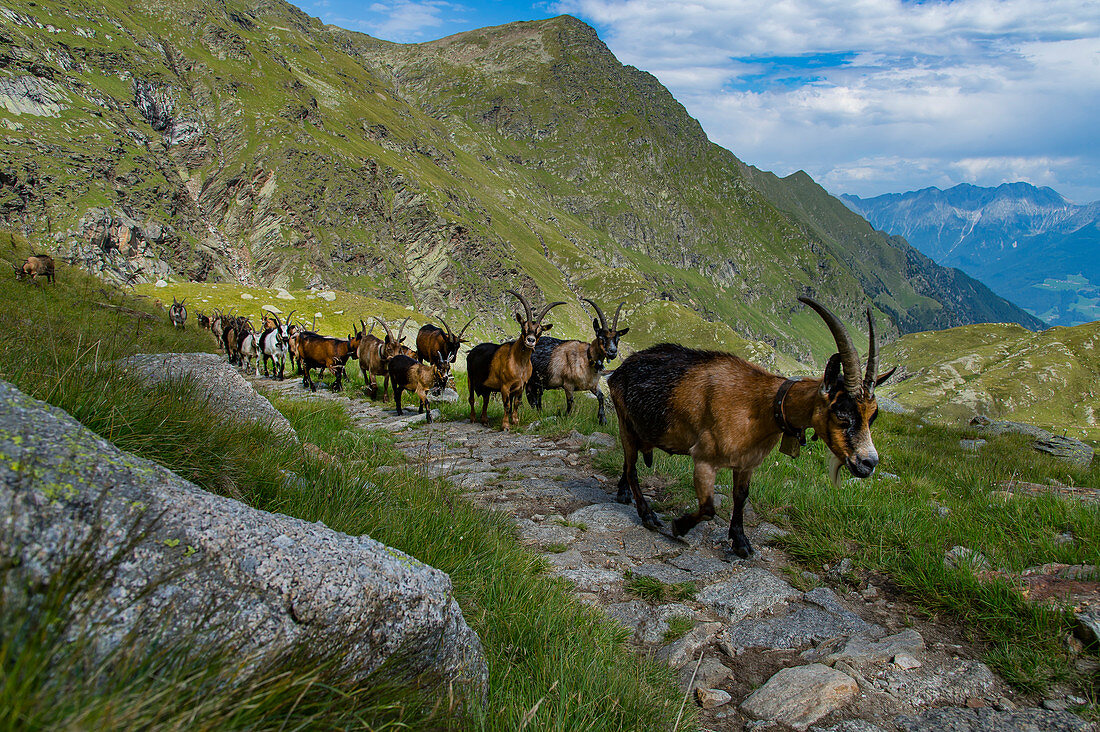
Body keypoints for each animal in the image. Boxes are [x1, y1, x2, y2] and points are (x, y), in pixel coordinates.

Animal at [466, 288, 563, 431]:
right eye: (524, 327)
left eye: (539, 331)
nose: (530, 340)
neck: (518, 362)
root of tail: (472, 352)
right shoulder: (505, 386)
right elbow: (507, 405)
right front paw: (505, 425)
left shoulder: (521, 386)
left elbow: (516, 403)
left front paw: (515, 421)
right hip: (471, 379)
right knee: (472, 399)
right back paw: (473, 418)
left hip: (486, 385)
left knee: (486, 400)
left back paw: (485, 420)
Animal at [607, 295, 897, 556]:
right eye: (841, 412)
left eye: (873, 416)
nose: (868, 463)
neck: (761, 407)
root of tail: (619, 370)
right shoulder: (704, 459)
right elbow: (709, 509)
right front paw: (680, 526)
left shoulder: (747, 463)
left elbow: (741, 497)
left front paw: (740, 541)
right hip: (624, 421)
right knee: (632, 468)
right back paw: (647, 515)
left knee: (629, 462)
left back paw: (624, 493)